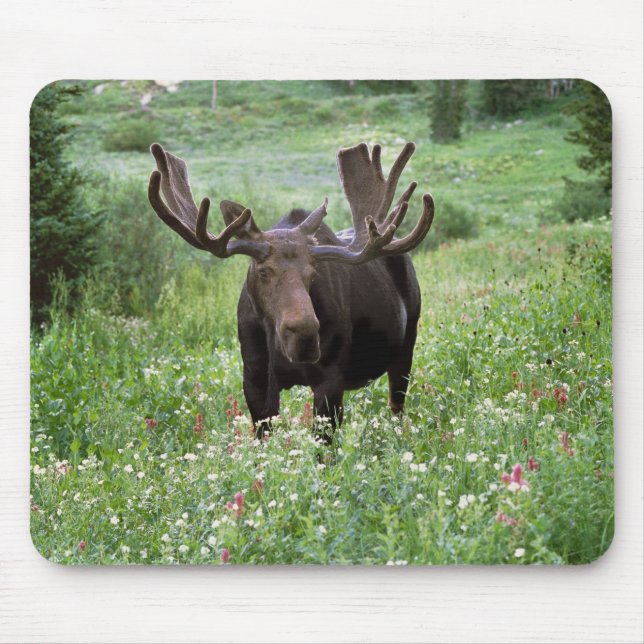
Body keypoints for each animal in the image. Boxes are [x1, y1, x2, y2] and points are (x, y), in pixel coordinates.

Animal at [148, 141, 434, 441]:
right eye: (263, 271)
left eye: (313, 273)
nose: (305, 335)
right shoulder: (254, 377)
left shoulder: (331, 379)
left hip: (406, 345)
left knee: (397, 406)